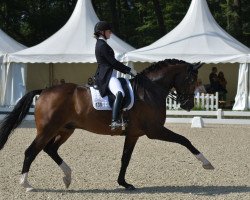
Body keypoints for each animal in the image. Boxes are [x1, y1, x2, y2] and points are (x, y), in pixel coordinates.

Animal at [0, 59, 214, 192]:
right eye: (191, 79)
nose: (188, 105)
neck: (150, 90)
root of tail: (44, 91)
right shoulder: (154, 130)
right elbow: (184, 140)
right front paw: (206, 163)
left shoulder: (133, 134)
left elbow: (125, 158)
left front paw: (124, 183)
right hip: (47, 129)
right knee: (31, 151)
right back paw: (26, 184)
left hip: (66, 129)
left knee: (50, 149)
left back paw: (67, 176)